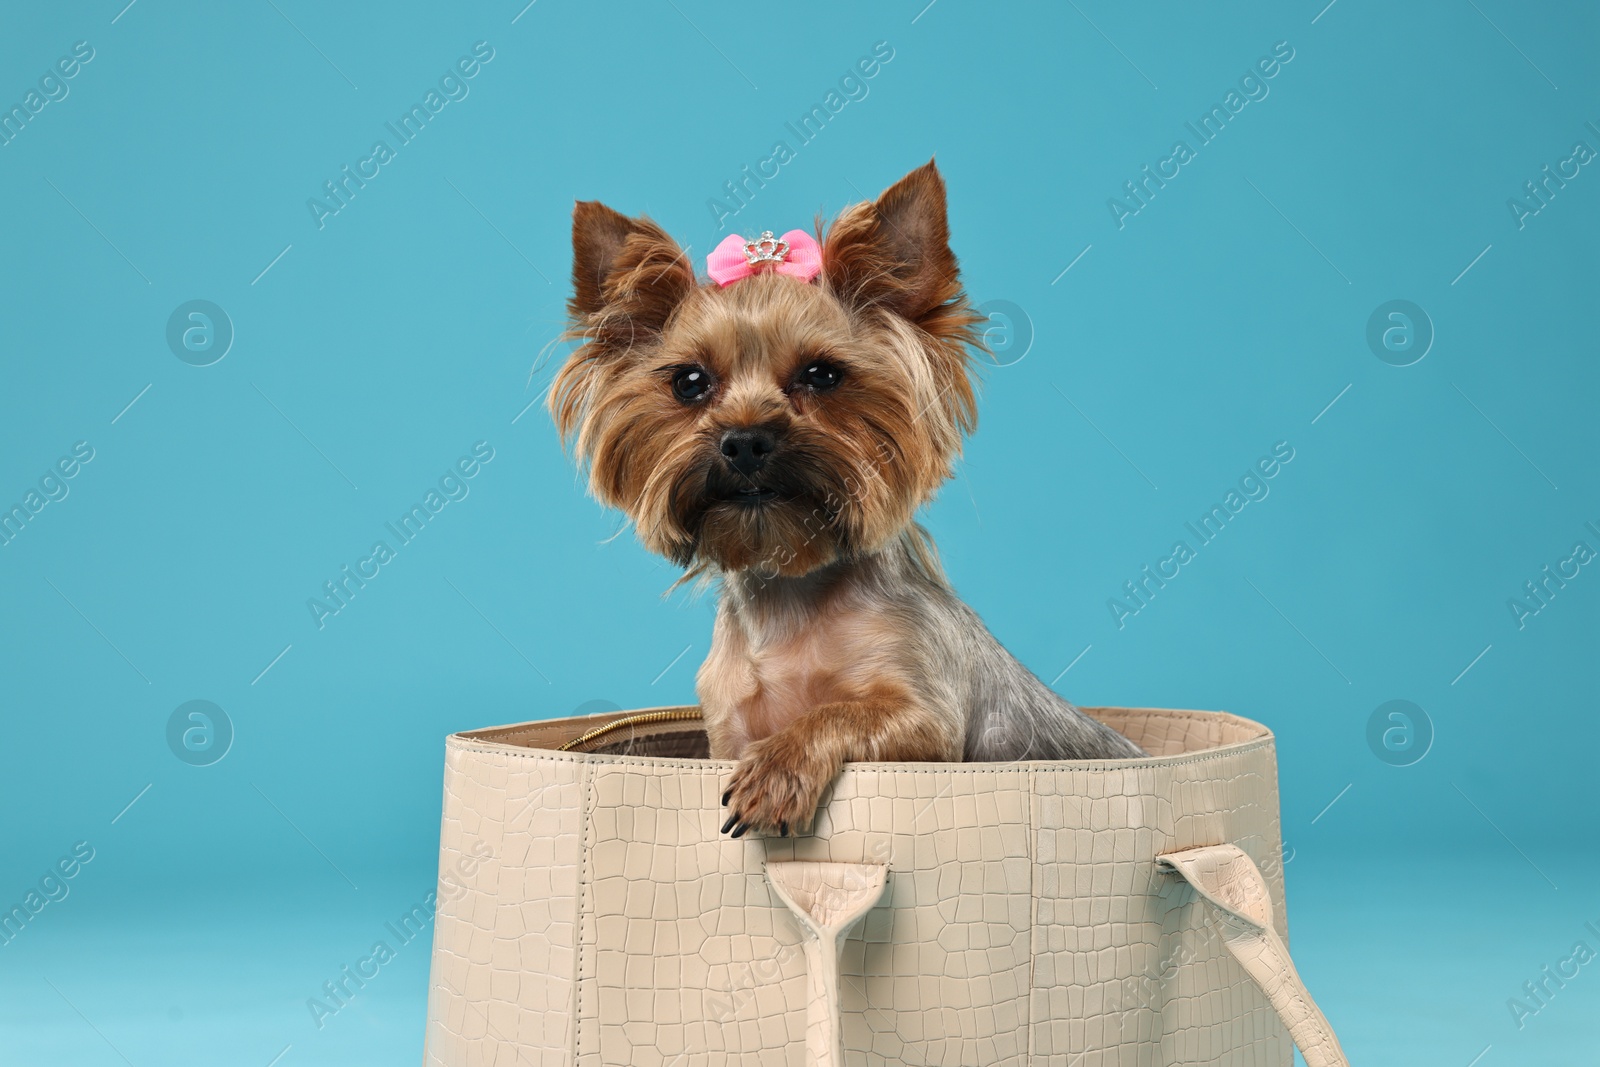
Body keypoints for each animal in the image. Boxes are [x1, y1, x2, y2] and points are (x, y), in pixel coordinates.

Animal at [553, 160, 1152, 844]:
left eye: (822, 375)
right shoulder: (727, 729)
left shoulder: (926, 719)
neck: (790, 595)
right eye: (690, 382)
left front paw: (776, 772)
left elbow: (840, 713)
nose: (745, 440)